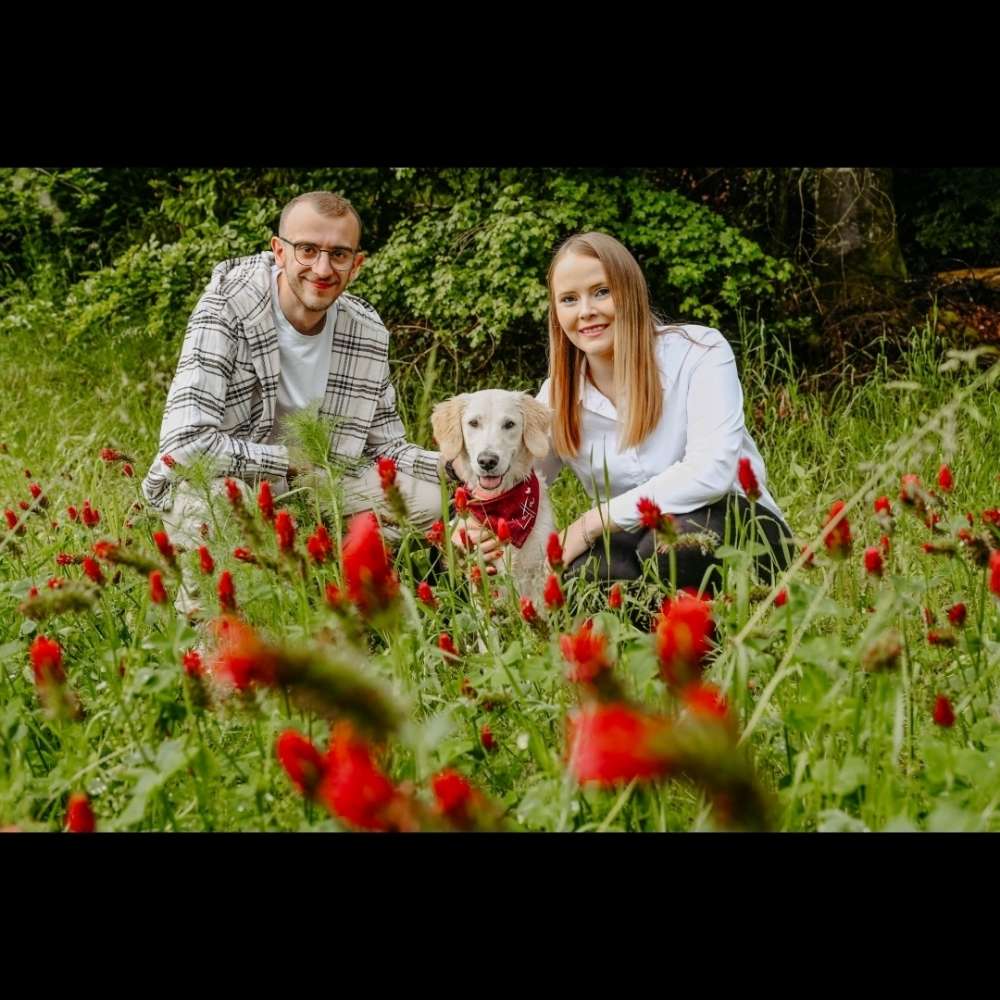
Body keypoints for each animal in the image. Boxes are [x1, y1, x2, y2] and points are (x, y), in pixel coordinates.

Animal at [430, 390, 556, 608]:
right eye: (473, 423)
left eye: (509, 424)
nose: (487, 461)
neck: (501, 506)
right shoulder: (481, 574)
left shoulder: (537, 572)